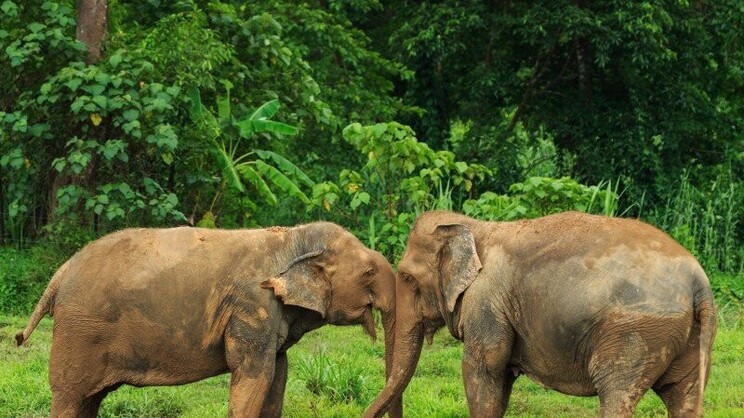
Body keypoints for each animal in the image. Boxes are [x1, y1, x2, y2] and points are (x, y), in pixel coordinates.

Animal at [16, 222, 402, 418]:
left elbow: (277, 375)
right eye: (369, 272)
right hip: (79, 331)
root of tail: (59, 273)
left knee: (89, 400)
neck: (293, 238)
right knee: (70, 396)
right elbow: (254, 376)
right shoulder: (252, 304)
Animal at [364, 211, 717, 418]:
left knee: (616, 393)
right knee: (683, 395)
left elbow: (483, 369)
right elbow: (501, 380)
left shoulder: (485, 302)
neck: (474, 226)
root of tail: (697, 281)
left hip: (634, 333)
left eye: (407, 278)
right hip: (692, 336)